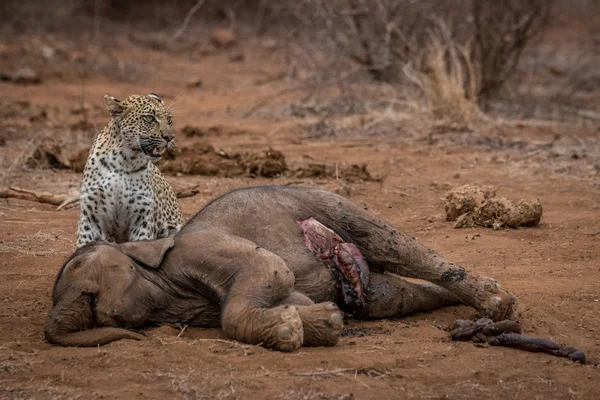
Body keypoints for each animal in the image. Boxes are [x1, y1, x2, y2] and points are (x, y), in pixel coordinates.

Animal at [76, 94, 183, 250]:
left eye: (169, 119)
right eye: (149, 118)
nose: (170, 137)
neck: (123, 160)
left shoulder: (142, 218)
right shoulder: (90, 216)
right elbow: (83, 245)